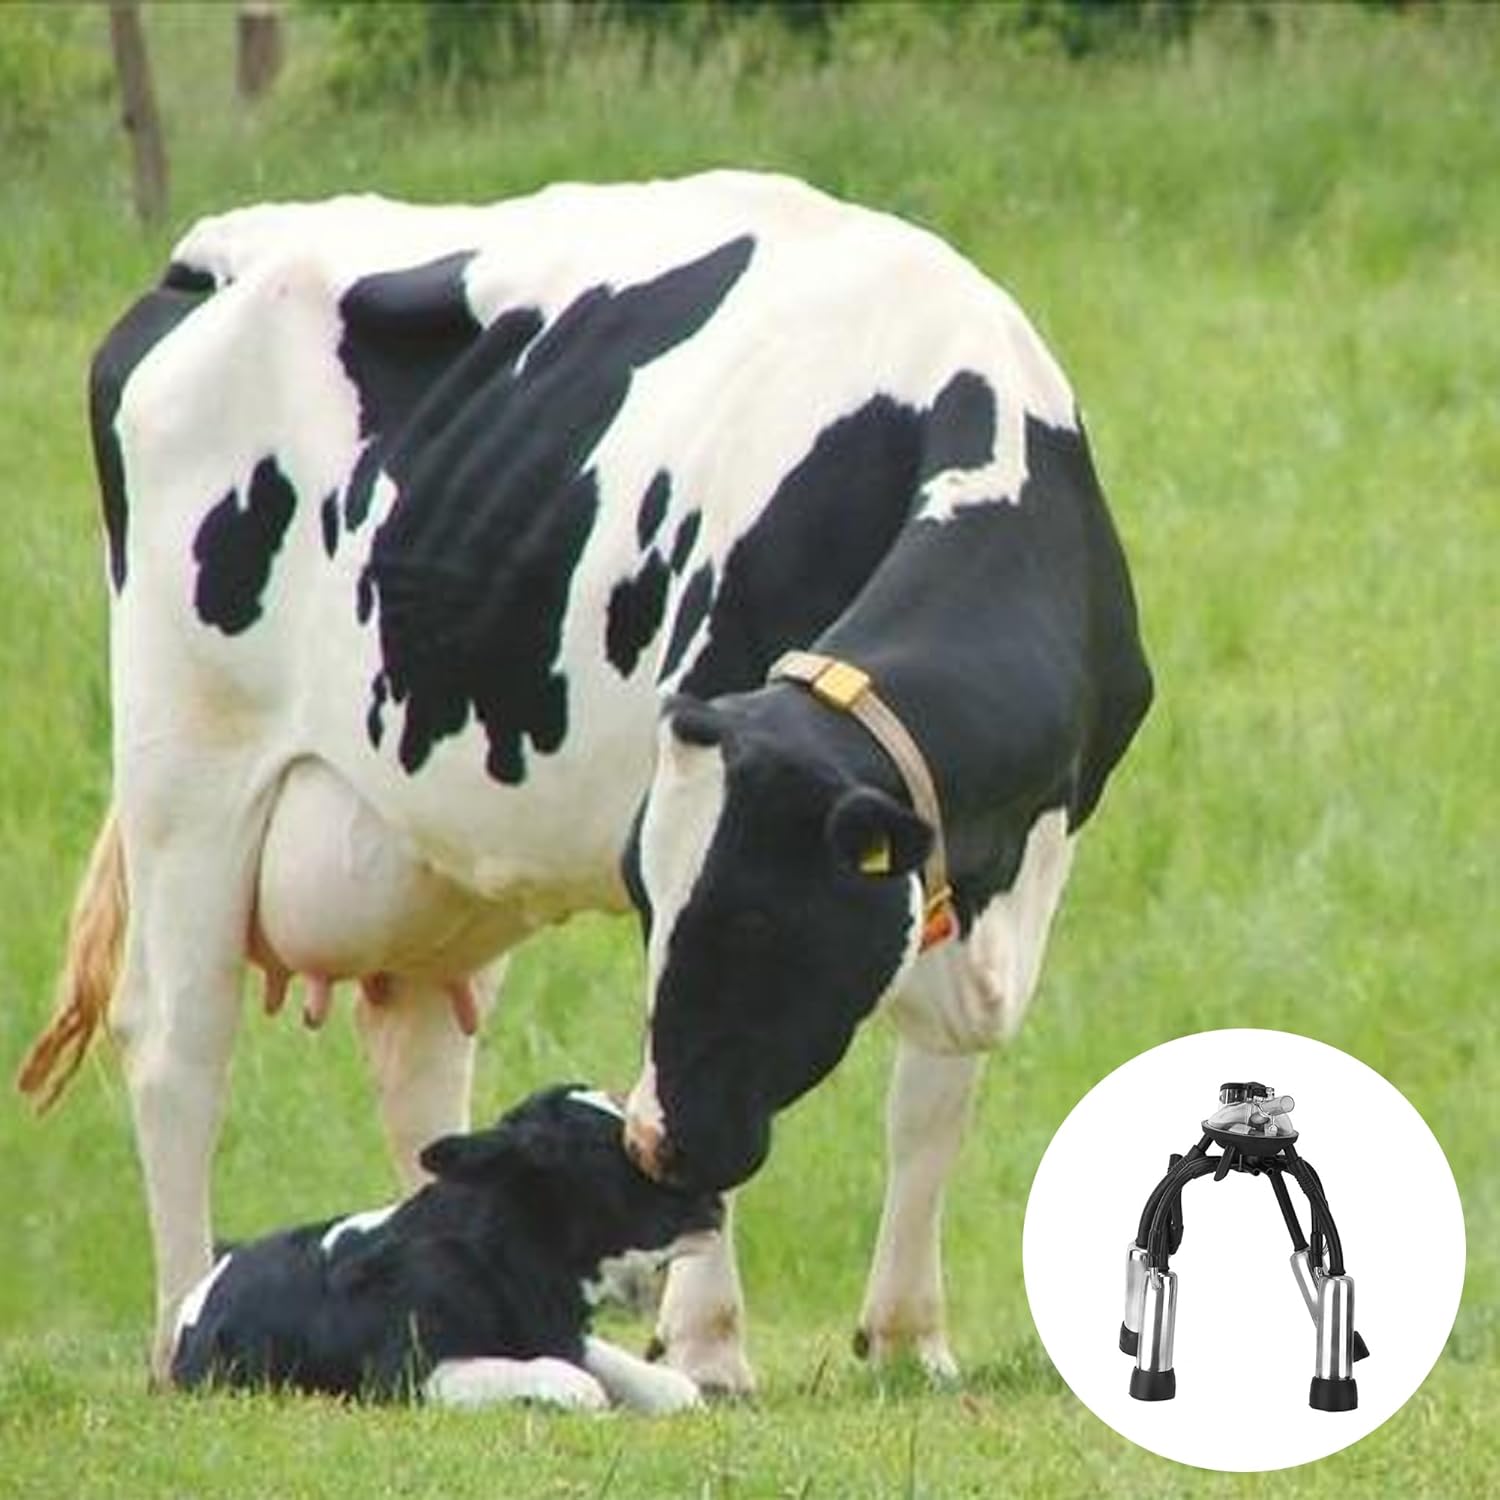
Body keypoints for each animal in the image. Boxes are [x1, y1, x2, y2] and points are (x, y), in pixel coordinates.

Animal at [20, 170, 1151, 1391]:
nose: (664, 1144)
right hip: (188, 765)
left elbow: (931, 1101)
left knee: (422, 1069)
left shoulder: (992, 860)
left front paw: (907, 1341)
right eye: (652, 903)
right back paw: (180, 1322)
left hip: (420, 858)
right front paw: (707, 1344)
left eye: (757, 920)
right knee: (179, 1048)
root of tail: (209, 254)